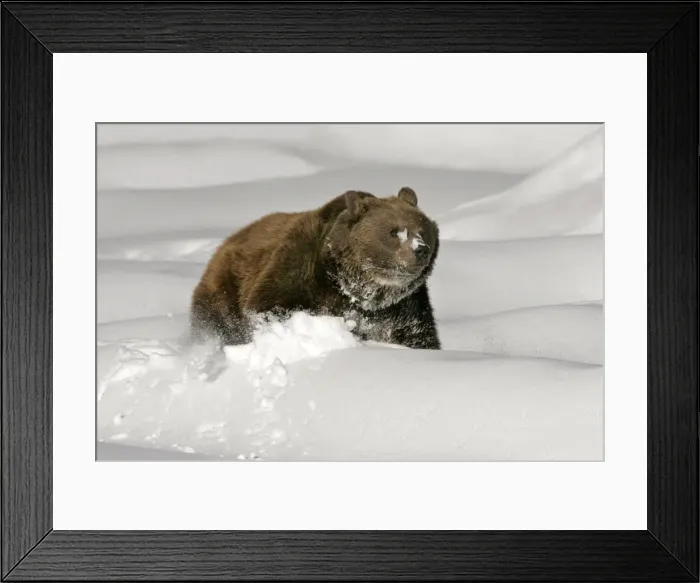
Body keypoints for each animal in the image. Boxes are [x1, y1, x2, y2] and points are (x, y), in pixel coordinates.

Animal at [190, 186, 441, 350]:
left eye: (422, 228)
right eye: (393, 231)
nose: (420, 249)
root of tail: (226, 242)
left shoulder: (402, 309)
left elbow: (418, 337)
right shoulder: (298, 274)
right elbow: (269, 308)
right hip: (224, 293)